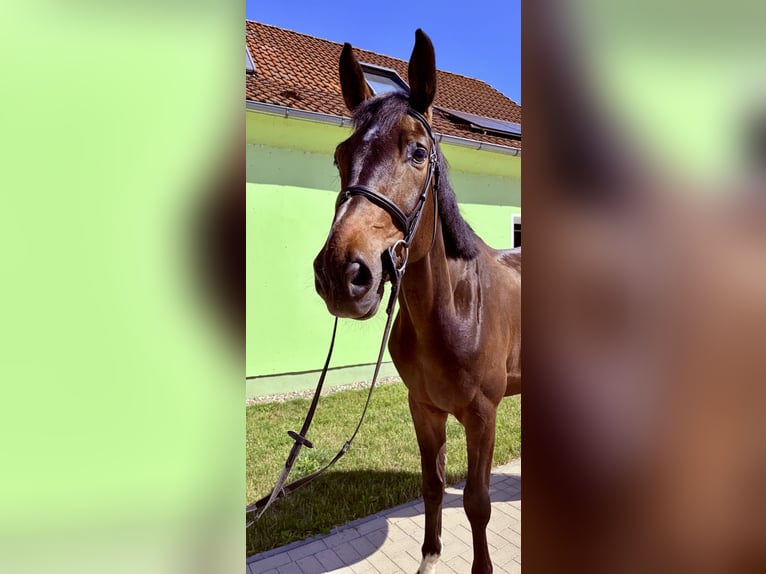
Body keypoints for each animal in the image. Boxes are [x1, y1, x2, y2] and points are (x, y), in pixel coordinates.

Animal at [312, 30, 520, 574]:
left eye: (419, 153)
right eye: (340, 156)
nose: (342, 274)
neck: (453, 311)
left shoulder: (483, 415)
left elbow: (477, 502)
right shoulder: (423, 408)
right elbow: (432, 487)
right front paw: (430, 557)